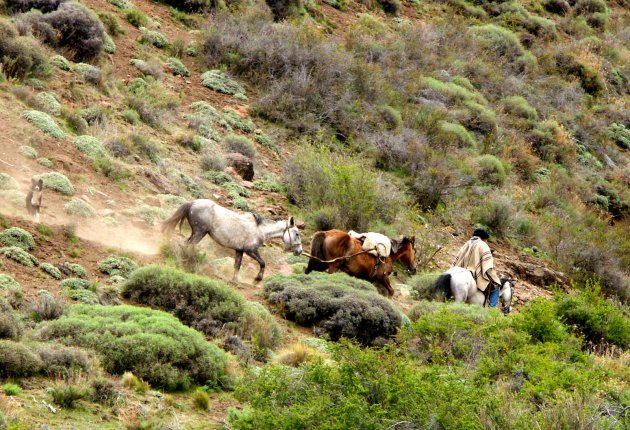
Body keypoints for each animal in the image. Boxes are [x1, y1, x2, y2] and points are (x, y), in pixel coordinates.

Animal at [162, 200, 302, 284]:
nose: (299, 251)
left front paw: (235, 280)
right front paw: (257, 278)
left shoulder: (239, 250)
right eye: (297, 233)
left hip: (197, 233)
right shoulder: (250, 250)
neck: (260, 229)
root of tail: (193, 203)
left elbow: (237, 265)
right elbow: (262, 263)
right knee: (187, 245)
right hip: (199, 232)